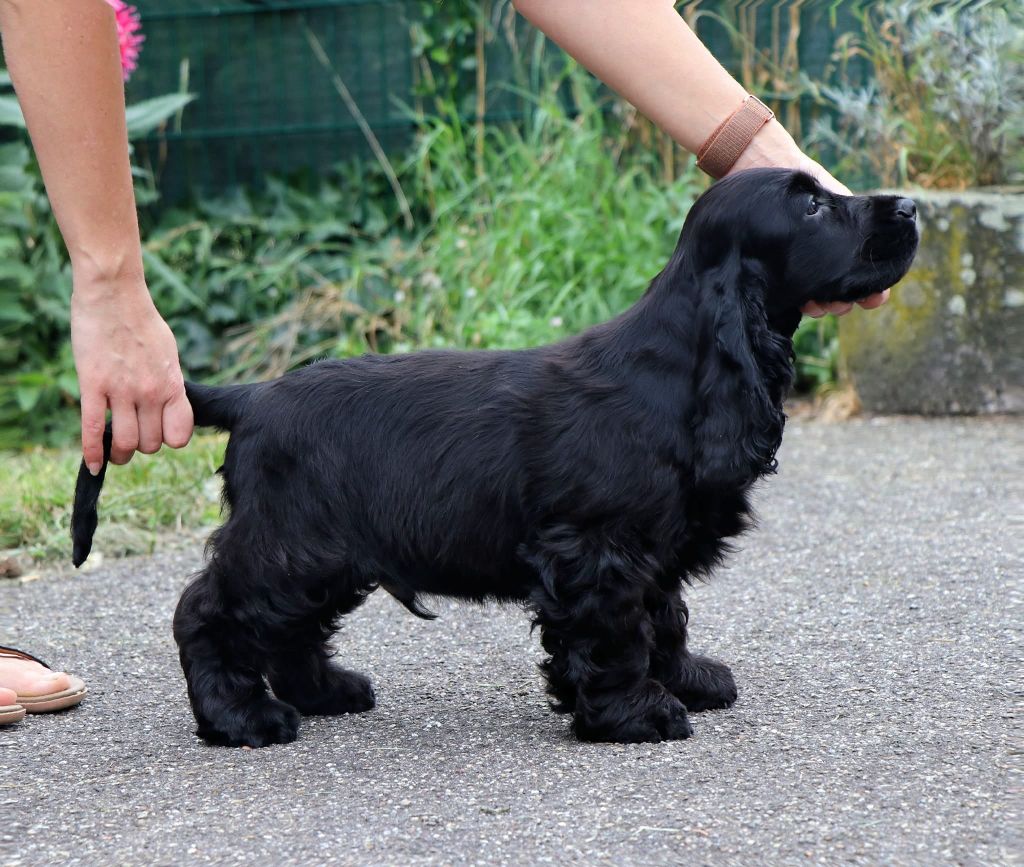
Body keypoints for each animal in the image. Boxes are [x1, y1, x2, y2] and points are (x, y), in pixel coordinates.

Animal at [71, 168, 919, 748]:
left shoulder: (653, 548)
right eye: (811, 205)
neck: (682, 364)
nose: (912, 205)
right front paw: (634, 712)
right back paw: (241, 716)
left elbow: (662, 615)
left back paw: (325, 690)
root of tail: (254, 396)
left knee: (287, 628)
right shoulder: (596, 545)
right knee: (206, 609)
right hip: (290, 542)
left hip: (326, 555)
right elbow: (612, 630)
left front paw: (685, 677)